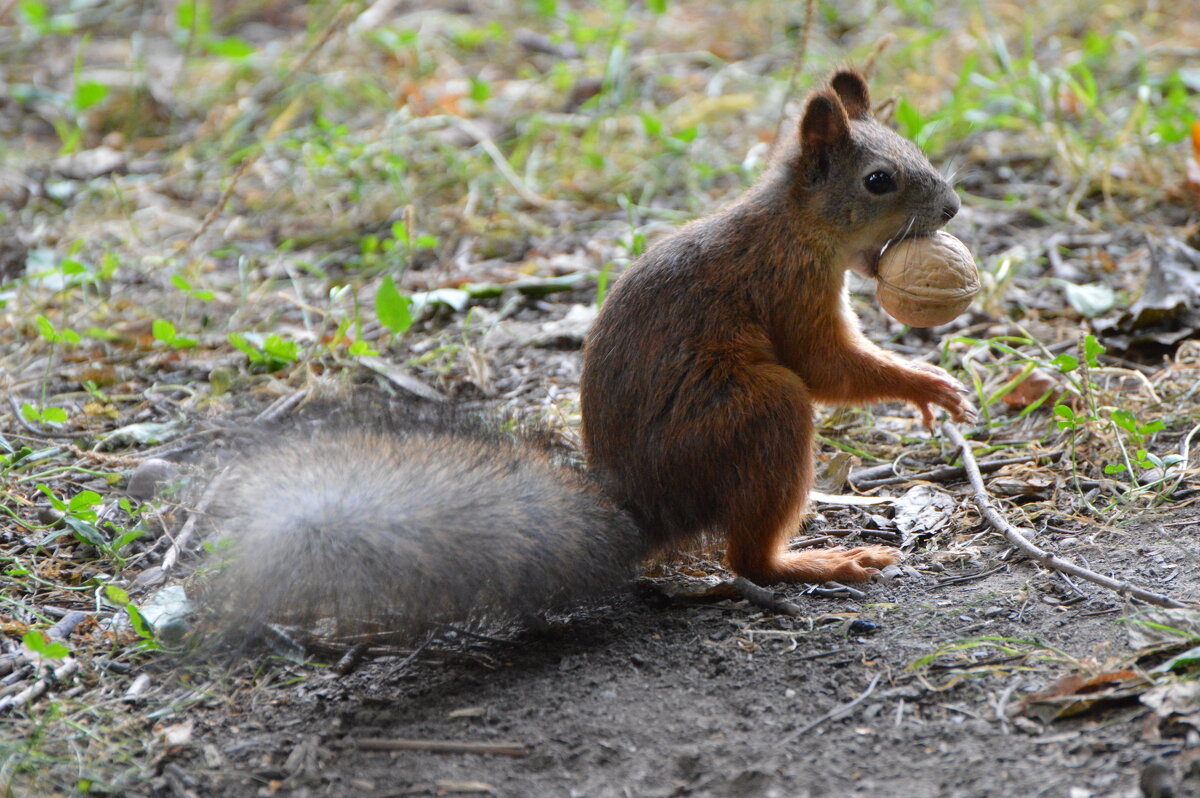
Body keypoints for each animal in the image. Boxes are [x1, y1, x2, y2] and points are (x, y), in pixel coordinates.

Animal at [204, 71, 974, 638]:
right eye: (879, 180)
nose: (952, 209)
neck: (796, 223)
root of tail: (650, 509)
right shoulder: (787, 286)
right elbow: (823, 365)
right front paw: (927, 384)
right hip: (755, 411)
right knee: (747, 554)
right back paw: (823, 562)